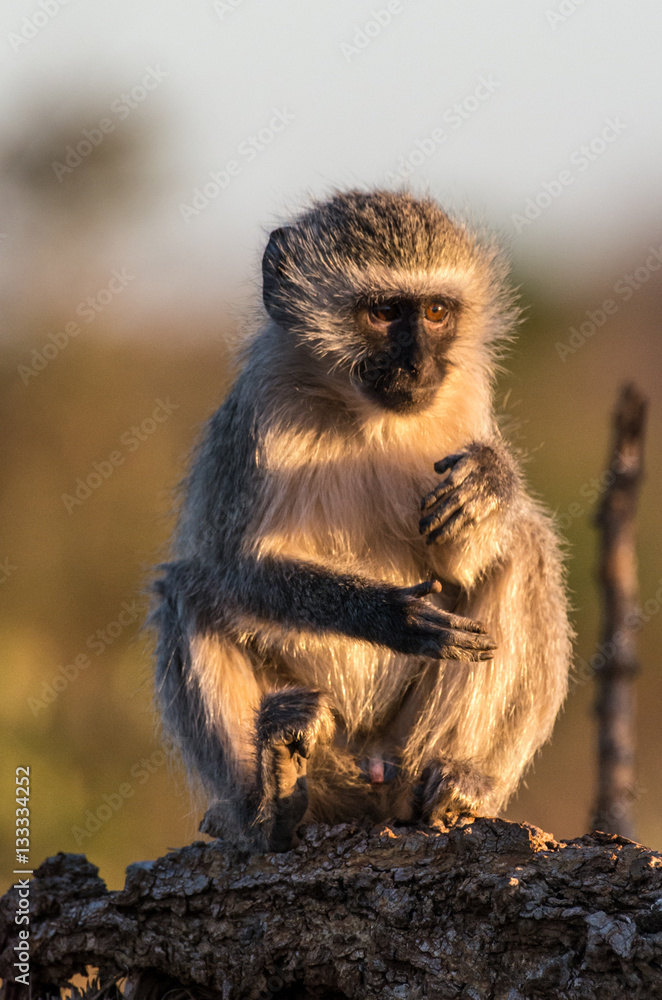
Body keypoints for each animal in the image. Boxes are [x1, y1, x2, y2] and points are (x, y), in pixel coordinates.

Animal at [152, 189, 572, 853]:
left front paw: (491, 484)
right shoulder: (258, 413)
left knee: (526, 547)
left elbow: (468, 559)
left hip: (405, 748)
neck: (365, 416)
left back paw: (460, 784)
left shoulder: (463, 398)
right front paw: (390, 615)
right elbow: (237, 569)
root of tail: (367, 771)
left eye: (435, 311)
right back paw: (267, 798)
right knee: (191, 586)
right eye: (382, 312)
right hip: (325, 749)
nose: (418, 365)